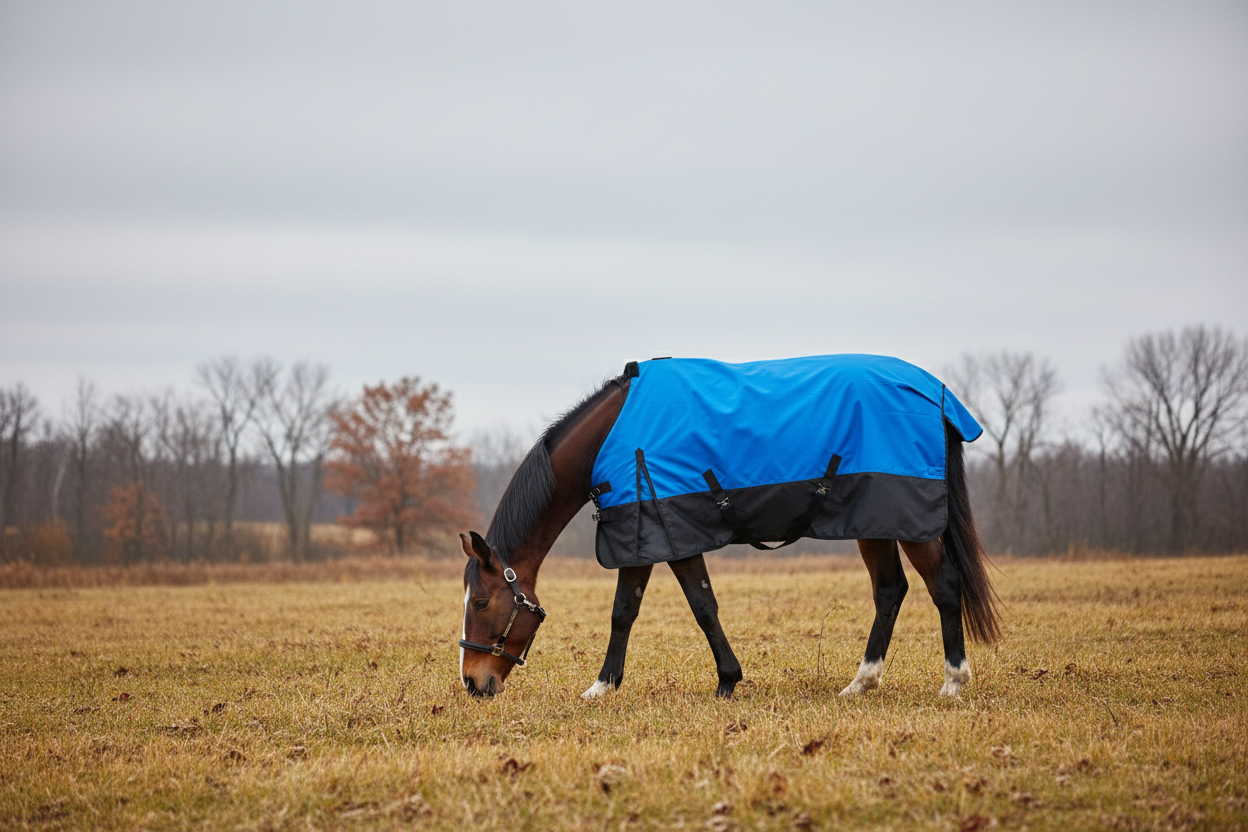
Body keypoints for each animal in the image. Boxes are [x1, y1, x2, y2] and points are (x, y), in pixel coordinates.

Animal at [458, 354, 999, 699]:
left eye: (482, 603)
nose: (472, 683)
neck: (615, 437)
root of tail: (937, 395)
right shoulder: (641, 535)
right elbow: (625, 612)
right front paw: (603, 686)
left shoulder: (666, 533)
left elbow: (700, 607)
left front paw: (726, 680)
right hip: (877, 524)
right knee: (890, 591)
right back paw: (860, 684)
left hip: (910, 525)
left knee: (943, 585)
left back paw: (953, 682)